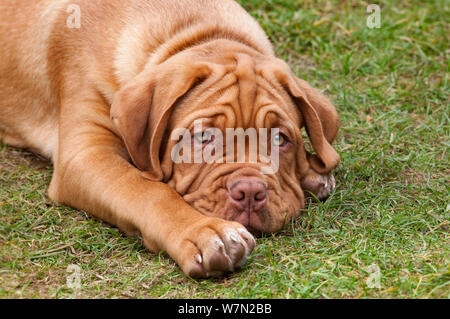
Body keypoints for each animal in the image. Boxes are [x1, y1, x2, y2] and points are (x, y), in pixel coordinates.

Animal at [0, 0, 338, 278]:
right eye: (203, 137)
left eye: (280, 139)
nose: (250, 191)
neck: (192, 31)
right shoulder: (86, 153)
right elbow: (146, 190)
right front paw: (205, 233)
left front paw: (313, 172)